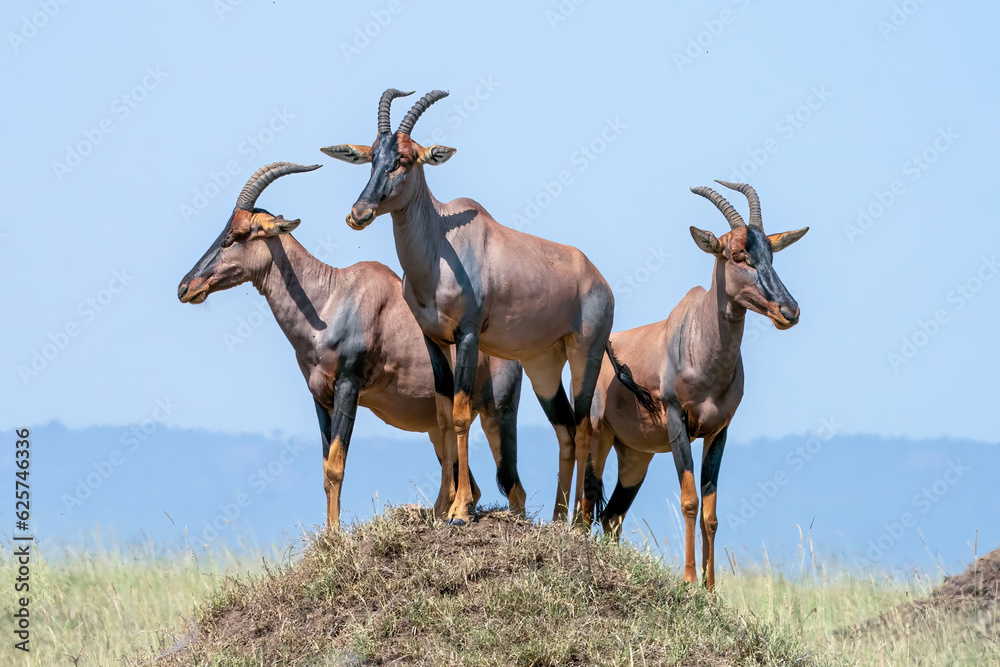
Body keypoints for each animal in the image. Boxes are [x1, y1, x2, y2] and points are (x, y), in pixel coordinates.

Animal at [177, 162, 528, 529]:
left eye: (237, 235)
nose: (186, 287)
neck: (333, 298)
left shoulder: (348, 385)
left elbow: (336, 465)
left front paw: (334, 534)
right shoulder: (319, 395)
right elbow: (325, 468)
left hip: (498, 415)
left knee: (514, 488)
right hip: (436, 428)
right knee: (476, 484)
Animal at [321, 89, 654, 526]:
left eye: (407, 159)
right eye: (373, 156)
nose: (359, 214)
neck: (442, 245)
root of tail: (598, 279)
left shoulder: (468, 335)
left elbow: (462, 414)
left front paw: (461, 511)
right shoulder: (434, 340)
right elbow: (444, 416)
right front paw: (441, 510)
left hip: (586, 352)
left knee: (585, 427)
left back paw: (577, 525)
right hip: (543, 365)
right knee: (564, 429)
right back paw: (556, 520)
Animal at [585, 181, 808, 591]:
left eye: (771, 254)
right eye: (737, 254)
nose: (789, 310)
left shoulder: (719, 432)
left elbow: (711, 511)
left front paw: (711, 587)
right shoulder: (678, 424)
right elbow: (689, 500)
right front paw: (689, 580)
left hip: (635, 456)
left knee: (611, 517)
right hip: (597, 436)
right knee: (587, 502)